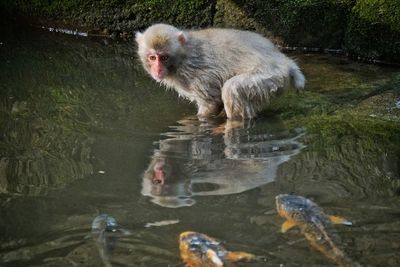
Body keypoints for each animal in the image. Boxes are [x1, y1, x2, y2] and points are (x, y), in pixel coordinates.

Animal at [136, 24, 304, 120]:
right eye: (152, 57)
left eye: (164, 57)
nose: (157, 69)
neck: (183, 56)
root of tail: (285, 61)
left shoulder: (197, 75)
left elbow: (210, 104)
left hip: (271, 77)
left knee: (232, 89)